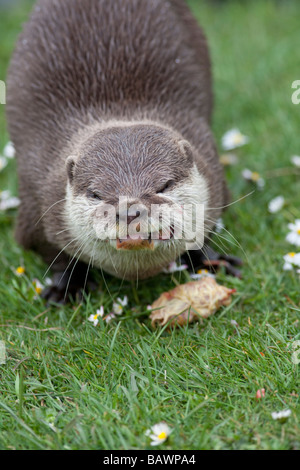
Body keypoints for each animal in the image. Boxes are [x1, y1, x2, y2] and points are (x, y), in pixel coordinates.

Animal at [6, 0, 241, 302]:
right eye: (96, 194)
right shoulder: (35, 202)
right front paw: (67, 285)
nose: (130, 211)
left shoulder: (214, 175)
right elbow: (54, 254)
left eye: (164, 185)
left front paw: (208, 260)